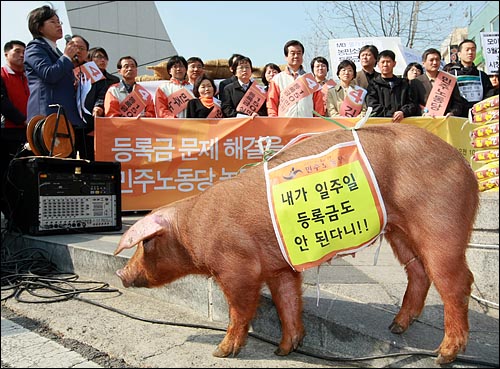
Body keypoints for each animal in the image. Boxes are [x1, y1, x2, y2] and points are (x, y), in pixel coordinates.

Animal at [114, 123, 480, 362]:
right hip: (399, 231)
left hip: (440, 223)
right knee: (419, 272)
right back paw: (396, 328)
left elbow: (240, 309)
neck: (191, 230)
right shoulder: (279, 268)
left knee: (457, 280)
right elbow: (287, 302)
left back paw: (443, 355)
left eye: (144, 244)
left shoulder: (238, 268)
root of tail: (465, 165)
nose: (121, 274)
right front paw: (284, 349)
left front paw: (221, 352)